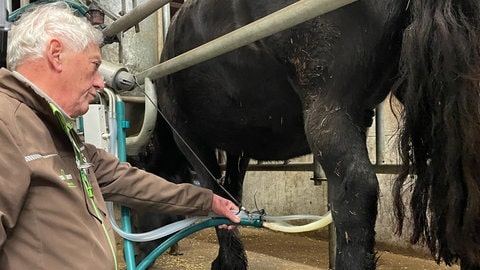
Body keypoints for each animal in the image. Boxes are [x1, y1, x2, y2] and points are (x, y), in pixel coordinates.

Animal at [137, 0, 480, 268]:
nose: (140, 251)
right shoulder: (238, 147)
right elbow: (231, 192)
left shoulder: (188, 135)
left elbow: (213, 191)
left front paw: (227, 263)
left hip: (327, 103)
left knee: (355, 190)